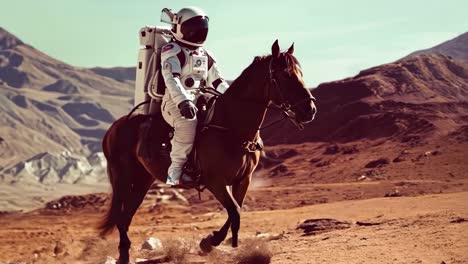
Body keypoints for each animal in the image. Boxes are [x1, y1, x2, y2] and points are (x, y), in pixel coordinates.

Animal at [98, 40, 318, 262]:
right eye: (285, 75)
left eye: (300, 73)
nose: (310, 110)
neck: (230, 126)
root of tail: (115, 127)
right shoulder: (215, 182)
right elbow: (235, 211)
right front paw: (211, 241)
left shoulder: (242, 180)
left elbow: (236, 210)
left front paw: (210, 242)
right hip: (123, 178)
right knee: (121, 216)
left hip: (143, 180)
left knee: (125, 216)